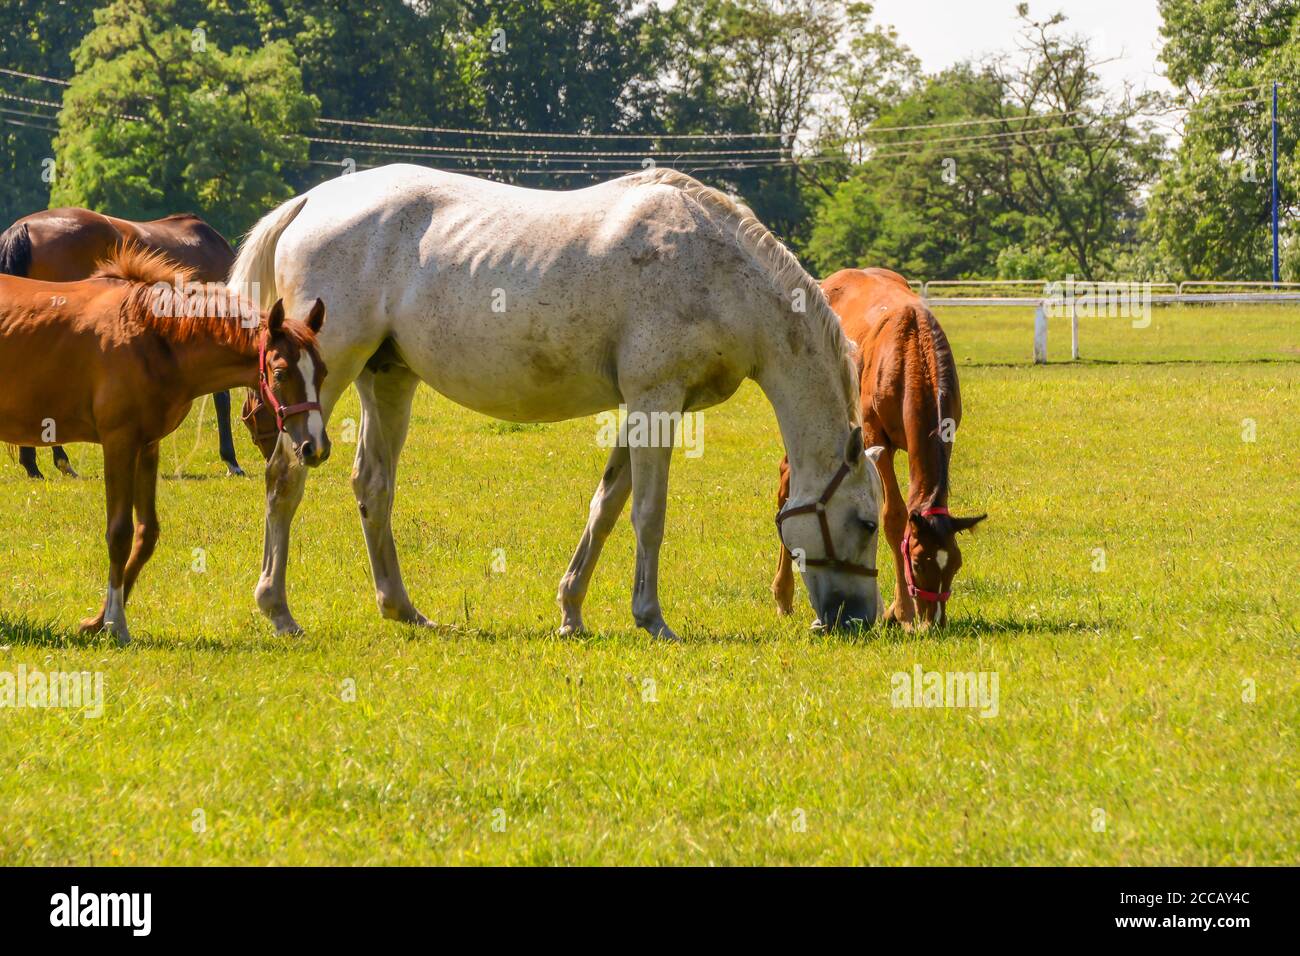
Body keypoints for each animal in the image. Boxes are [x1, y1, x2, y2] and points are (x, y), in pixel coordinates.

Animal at [0, 247, 330, 647]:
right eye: (280, 373)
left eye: (323, 372)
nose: (315, 446)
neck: (151, 337)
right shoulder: (119, 443)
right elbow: (119, 534)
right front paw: (116, 624)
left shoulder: (147, 446)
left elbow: (146, 535)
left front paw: (97, 621)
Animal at [231, 164, 883, 642]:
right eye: (868, 522)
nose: (860, 621)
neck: (718, 270)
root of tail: (310, 202)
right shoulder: (656, 401)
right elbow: (648, 514)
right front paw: (652, 619)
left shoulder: (642, 410)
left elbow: (607, 505)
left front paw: (571, 612)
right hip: (322, 381)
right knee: (285, 478)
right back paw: (279, 610)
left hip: (388, 379)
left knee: (372, 485)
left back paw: (403, 608)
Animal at [769, 269, 982, 629]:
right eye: (918, 561)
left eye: (955, 563)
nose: (934, 620)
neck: (912, 351)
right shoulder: (873, 437)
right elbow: (894, 516)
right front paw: (903, 612)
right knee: (787, 481)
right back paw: (783, 593)